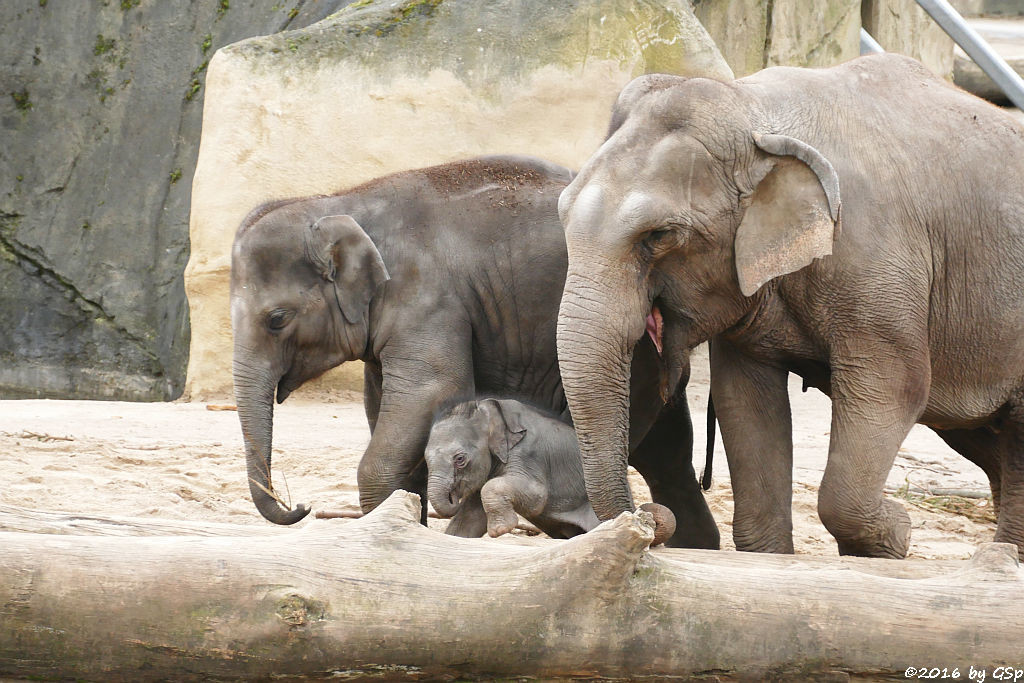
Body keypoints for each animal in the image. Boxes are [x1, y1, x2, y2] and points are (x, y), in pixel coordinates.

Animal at [423, 397, 598, 540]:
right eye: (425, 458)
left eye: (460, 459)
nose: (453, 496)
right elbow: (470, 518)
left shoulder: (528, 453)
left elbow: (538, 496)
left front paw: (500, 529)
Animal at [557, 54, 1024, 561]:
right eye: (561, 211)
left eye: (659, 235)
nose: (649, 518)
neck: (755, 113)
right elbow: (743, 396)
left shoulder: (880, 261)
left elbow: (894, 386)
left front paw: (896, 535)